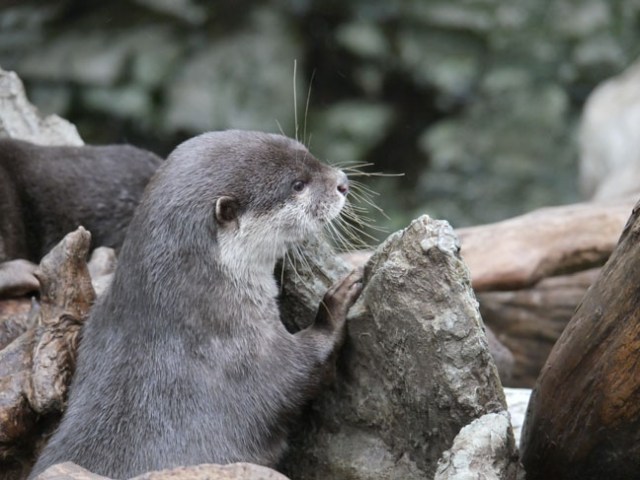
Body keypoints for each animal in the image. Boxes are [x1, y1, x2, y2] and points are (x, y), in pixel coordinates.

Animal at [29, 130, 363, 478]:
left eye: (308, 153)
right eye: (297, 185)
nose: (342, 182)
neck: (193, 308)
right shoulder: (239, 355)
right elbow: (301, 370)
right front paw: (337, 301)